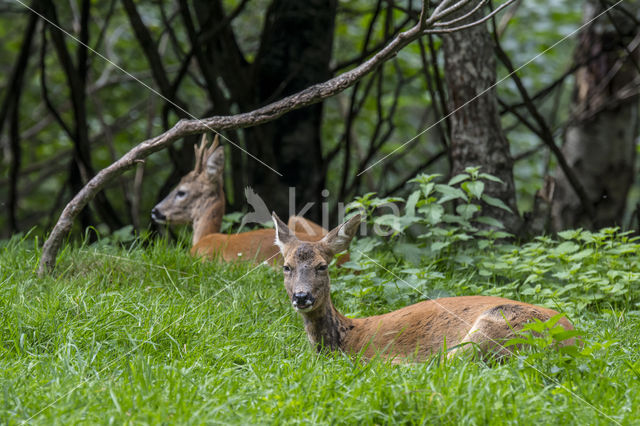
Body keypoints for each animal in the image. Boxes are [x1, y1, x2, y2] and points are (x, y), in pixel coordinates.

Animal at [272, 211, 576, 362]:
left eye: (322, 266)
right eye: (286, 266)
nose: (302, 296)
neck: (347, 337)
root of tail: (572, 342)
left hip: (498, 322)